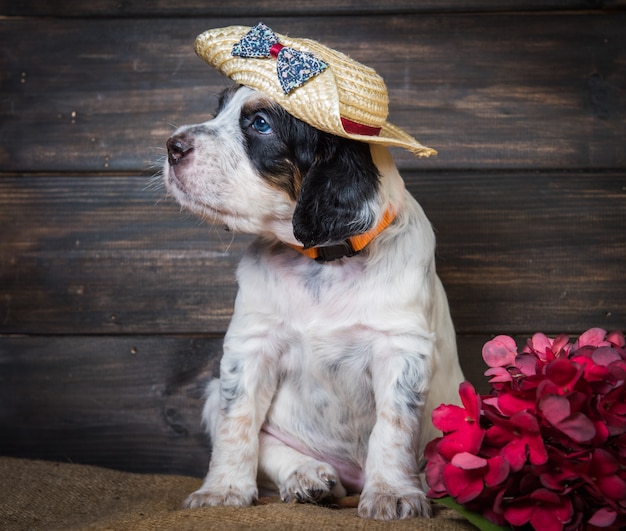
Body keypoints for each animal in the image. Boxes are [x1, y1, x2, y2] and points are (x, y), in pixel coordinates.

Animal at [163, 85, 466, 520]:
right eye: (218, 110)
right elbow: (236, 424)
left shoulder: (401, 347)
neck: (323, 261)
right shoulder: (250, 345)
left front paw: (392, 492)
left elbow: (392, 427)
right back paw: (307, 476)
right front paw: (222, 490)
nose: (172, 146)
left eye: (261, 124)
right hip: (213, 393)